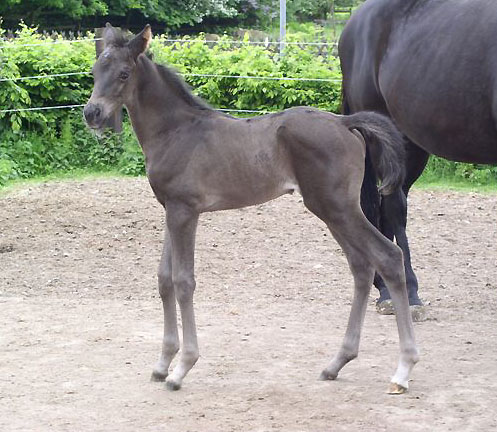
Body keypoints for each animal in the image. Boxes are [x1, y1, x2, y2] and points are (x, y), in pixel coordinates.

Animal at [83, 24, 416, 394]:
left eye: (124, 74)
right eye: (95, 71)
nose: (92, 114)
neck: (175, 131)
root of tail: (345, 122)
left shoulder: (185, 211)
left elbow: (184, 281)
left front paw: (182, 368)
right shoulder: (170, 209)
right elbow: (164, 280)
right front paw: (162, 364)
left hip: (337, 207)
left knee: (388, 256)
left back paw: (402, 370)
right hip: (334, 211)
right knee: (361, 266)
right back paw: (336, 363)